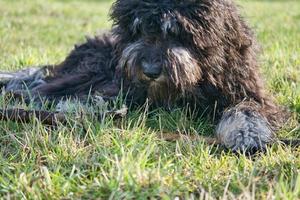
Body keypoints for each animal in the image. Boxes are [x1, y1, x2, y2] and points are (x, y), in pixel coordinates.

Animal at [0, 0, 286, 153]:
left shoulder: (249, 90)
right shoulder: (130, 87)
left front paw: (247, 133)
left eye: (176, 31)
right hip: (92, 71)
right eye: (139, 29)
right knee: (40, 91)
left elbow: (246, 108)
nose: (150, 71)